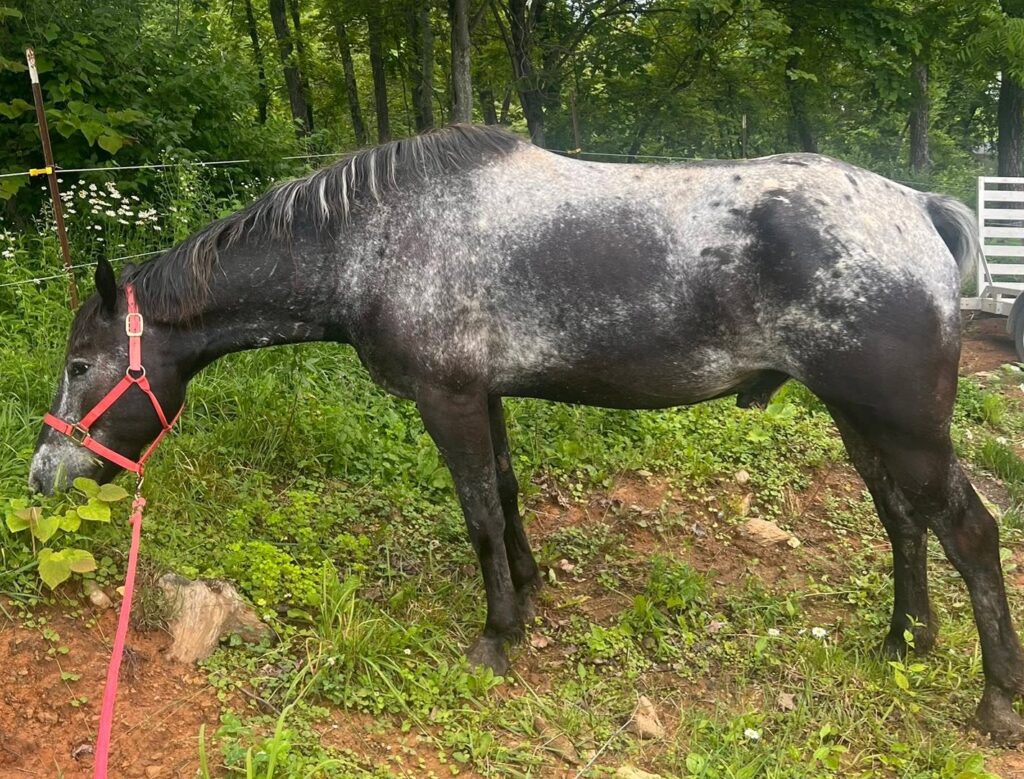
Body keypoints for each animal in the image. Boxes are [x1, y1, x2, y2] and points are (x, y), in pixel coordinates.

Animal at [29, 124, 1024, 740]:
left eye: (79, 363)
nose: (42, 473)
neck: (375, 239)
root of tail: (919, 208)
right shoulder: (487, 396)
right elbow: (504, 494)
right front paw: (532, 587)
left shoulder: (448, 400)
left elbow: (475, 513)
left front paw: (498, 632)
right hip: (863, 422)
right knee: (902, 522)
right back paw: (905, 639)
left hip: (905, 427)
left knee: (970, 533)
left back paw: (996, 699)